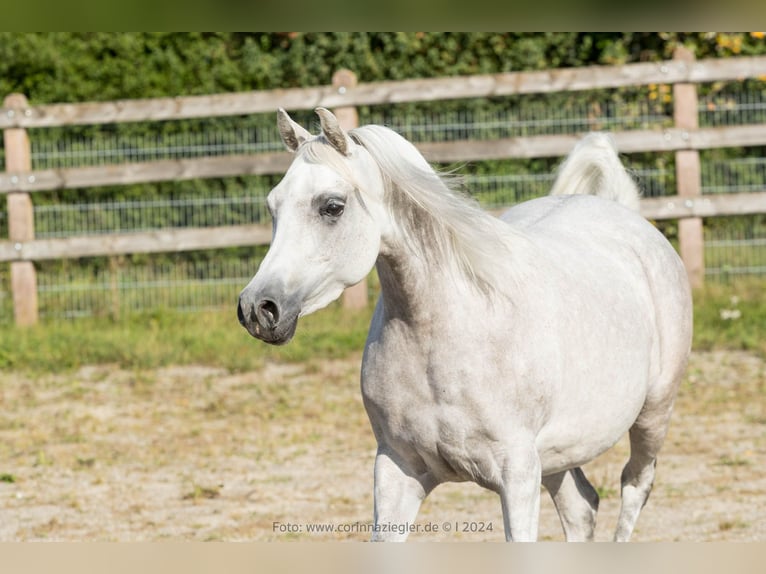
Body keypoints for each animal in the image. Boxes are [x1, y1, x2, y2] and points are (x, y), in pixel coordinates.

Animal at [237, 107, 693, 541]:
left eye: (332, 206)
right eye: (273, 205)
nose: (258, 308)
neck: (446, 332)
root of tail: (623, 212)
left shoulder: (517, 475)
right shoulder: (396, 469)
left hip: (653, 415)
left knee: (634, 487)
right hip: (558, 456)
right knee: (582, 508)